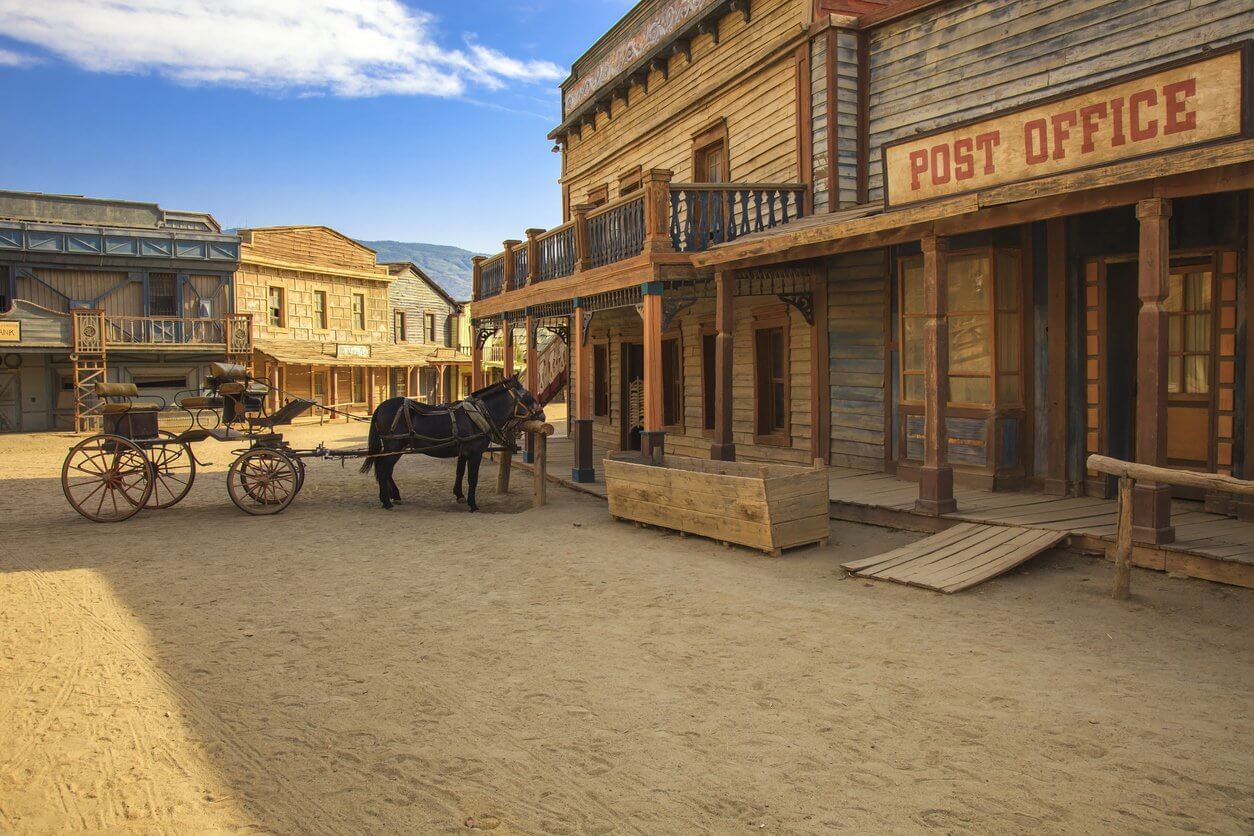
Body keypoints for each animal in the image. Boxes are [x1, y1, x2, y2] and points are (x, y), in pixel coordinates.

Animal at [358, 378, 544, 511]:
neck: (477, 415)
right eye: (528, 396)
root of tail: (381, 407)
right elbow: (472, 477)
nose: (542, 416)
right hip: (394, 446)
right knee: (384, 469)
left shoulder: (464, 452)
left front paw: (459, 495)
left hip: (395, 448)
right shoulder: (475, 453)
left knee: (384, 468)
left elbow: (459, 472)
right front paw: (472, 504)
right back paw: (386, 501)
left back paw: (392, 496)